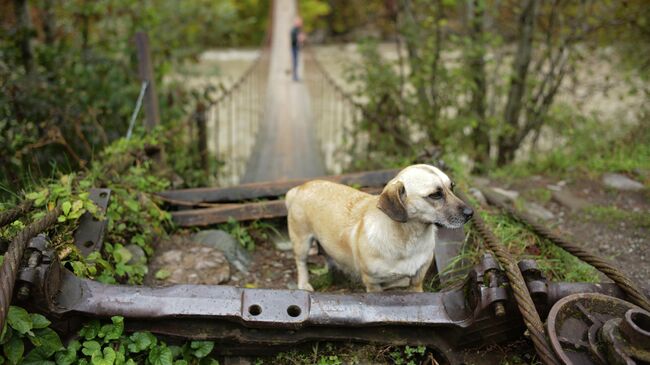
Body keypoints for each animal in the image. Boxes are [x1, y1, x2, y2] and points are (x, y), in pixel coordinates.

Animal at [284, 164, 470, 292]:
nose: (471, 213)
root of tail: (300, 188)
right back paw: (304, 284)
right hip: (302, 242)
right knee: (301, 263)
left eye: (452, 187)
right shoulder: (373, 283)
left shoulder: (418, 278)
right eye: (435, 195)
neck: (409, 239)